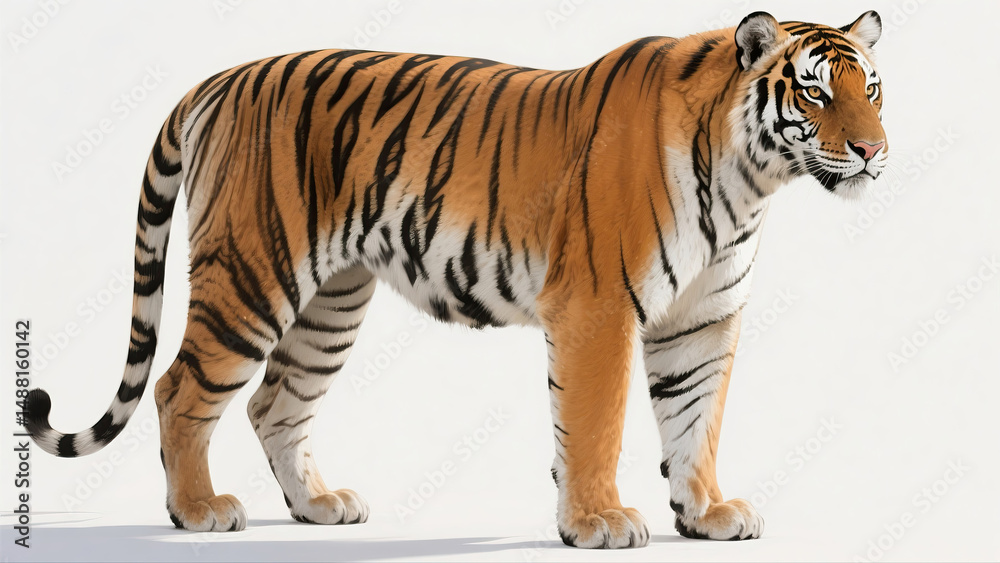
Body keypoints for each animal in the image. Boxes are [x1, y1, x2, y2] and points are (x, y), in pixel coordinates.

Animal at [25, 10, 887, 548]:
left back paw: (318, 506)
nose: (875, 151)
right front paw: (599, 520)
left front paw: (705, 512)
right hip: (250, 276)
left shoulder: (704, 317)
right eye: (815, 90)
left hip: (330, 301)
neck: (748, 179)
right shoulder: (599, 307)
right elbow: (598, 423)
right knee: (182, 389)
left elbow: (696, 420)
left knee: (276, 402)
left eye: (871, 88)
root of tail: (221, 78)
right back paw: (199, 509)